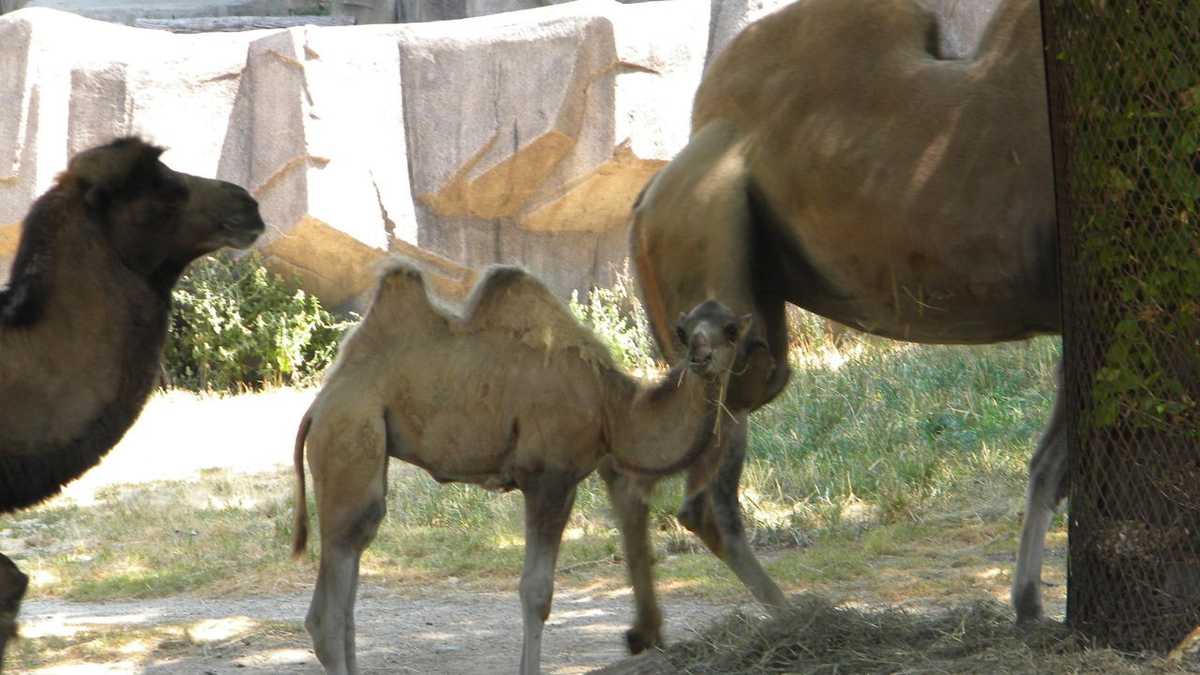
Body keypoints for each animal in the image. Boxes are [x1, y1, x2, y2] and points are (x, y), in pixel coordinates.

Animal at [291, 259, 765, 675]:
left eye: (729, 330)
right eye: (683, 332)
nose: (700, 356)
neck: (610, 405)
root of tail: (316, 408)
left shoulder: (564, 479)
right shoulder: (548, 478)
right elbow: (537, 592)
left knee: (350, 585)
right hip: (350, 434)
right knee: (330, 606)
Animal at [609, 0, 1063, 651]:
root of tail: (649, 191)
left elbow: (1052, 462)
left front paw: (1029, 607)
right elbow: (1057, 461)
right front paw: (1030, 608)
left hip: (743, 327)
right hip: (707, 253)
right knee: (697, 480)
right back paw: (791, 617)